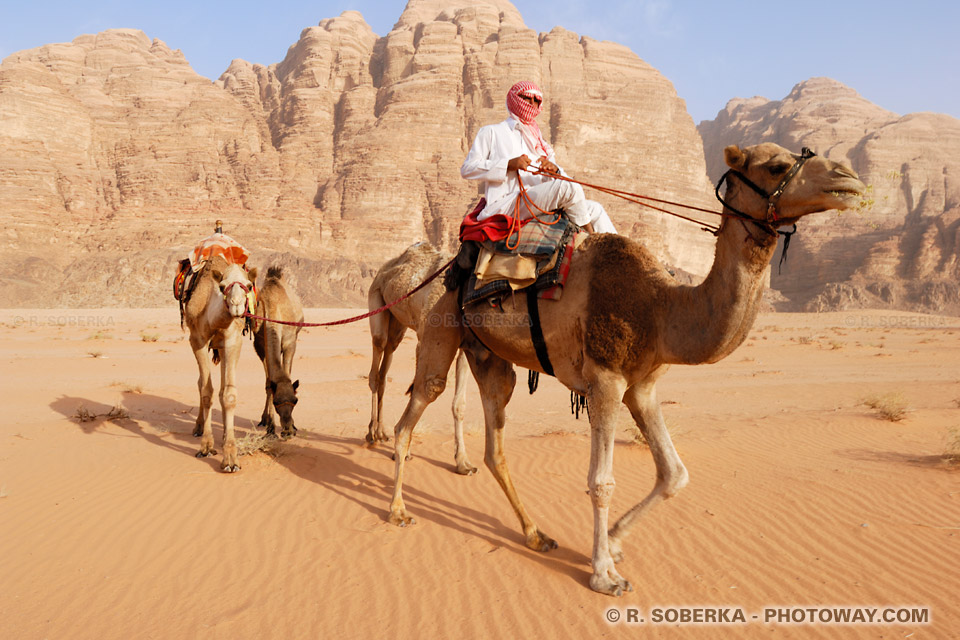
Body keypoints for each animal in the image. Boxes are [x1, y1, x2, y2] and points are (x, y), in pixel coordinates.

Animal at [182, 254, 256, 470]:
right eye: (222, 286)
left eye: (249, 285)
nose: (237, 305)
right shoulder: (197, 340)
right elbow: (207, 391)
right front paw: (206, 446)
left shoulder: (232, 340)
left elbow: (228, 394)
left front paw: (230, 457)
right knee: (201, 383)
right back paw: (198, 427)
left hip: (222, 348)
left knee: (222, 386)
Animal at [255, 266, 304, 440]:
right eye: (276, 402)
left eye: (295, 400)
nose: (287, 430)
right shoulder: (260, 346)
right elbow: (269, 384)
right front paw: (270, 427)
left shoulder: (290, 342)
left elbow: (287, 373)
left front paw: (293, 427)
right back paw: (264, 420)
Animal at [366, 244, 474, 476]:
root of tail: (383, 269)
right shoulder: (425, 338)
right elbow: (418, 389)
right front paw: (405, 453)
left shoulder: (464, 349)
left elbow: (459, 404)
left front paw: (463, 463)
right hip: (376, 297)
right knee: (375, 366)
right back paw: (371, 433)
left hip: (397, 324)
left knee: (385, 367)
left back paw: (381, 432)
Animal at [386, 144, 868, 596]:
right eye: (775, 166)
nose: (847, 180)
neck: (660, 307)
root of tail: (450, 264)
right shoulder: (606, 381)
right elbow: (601, 481)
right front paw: (604, 573)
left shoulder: (643, 387)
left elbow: (674, 473)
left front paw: (616, 540)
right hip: (440, 325)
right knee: (412, 413)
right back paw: (398, 511)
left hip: (490, 354)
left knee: (495, 443)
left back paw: (535, 535)